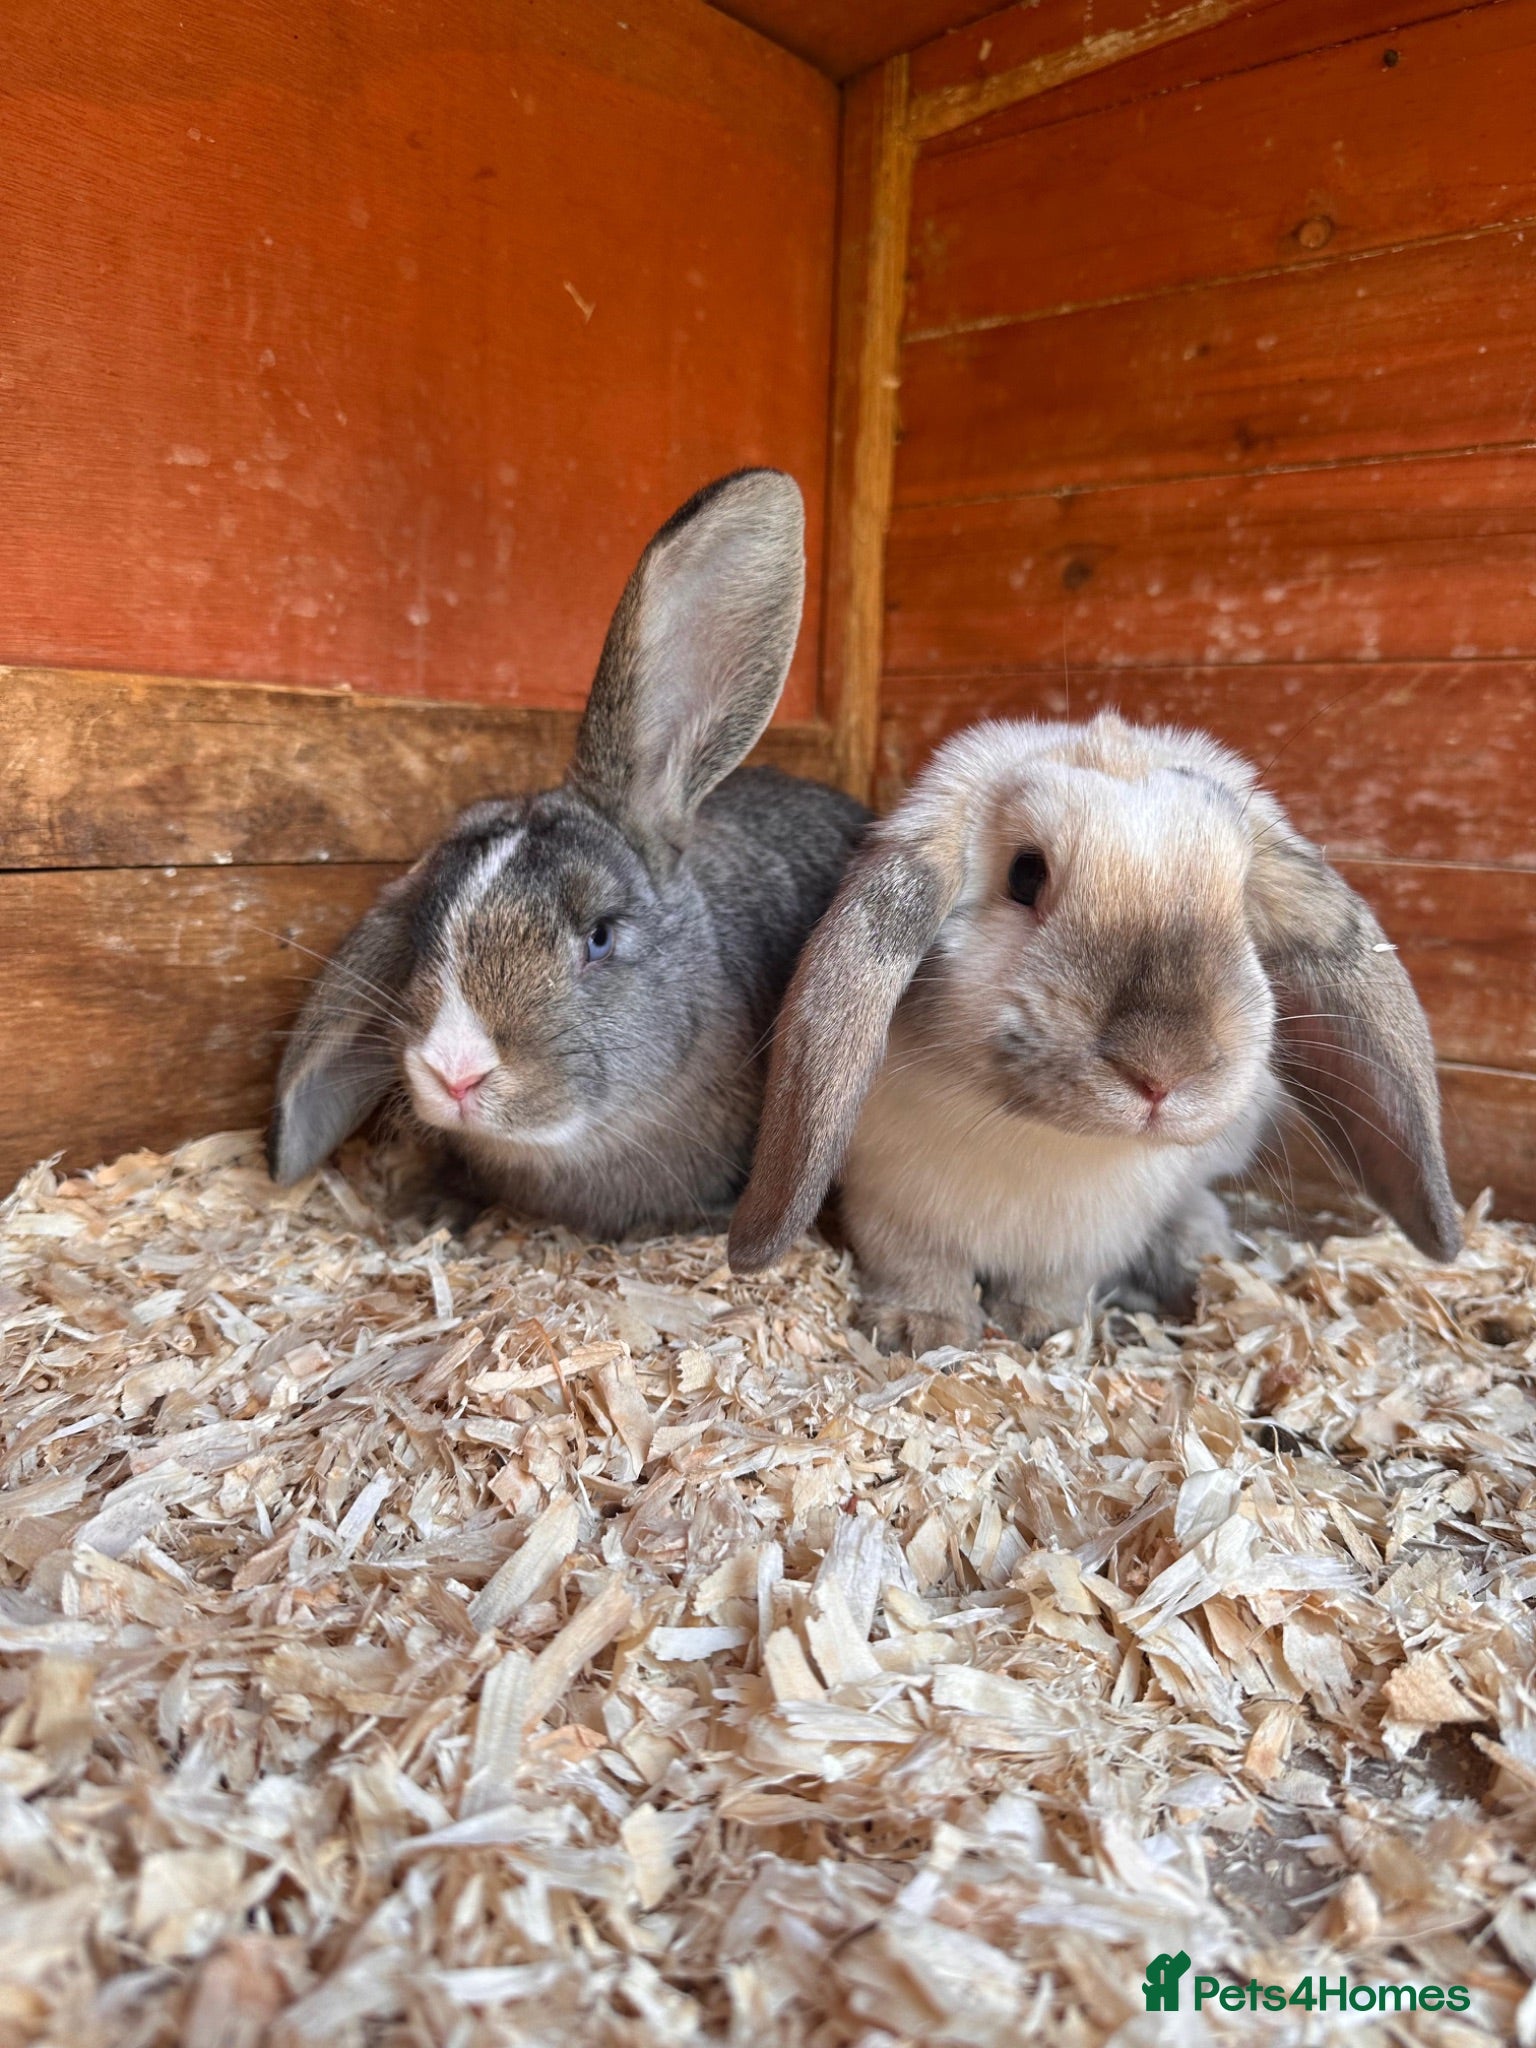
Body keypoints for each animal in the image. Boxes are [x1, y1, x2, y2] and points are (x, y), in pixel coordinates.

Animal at [729, 711, 1462, 1354]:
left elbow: (1054, 1283)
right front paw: (919, 1331)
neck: (1047, 1141)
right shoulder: (893, 1207)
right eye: (1025, 873)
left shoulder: (1091, 1241)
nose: (1164, 1069)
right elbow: (918, 1269)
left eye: (1241, 899)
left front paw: (1042, 1328)